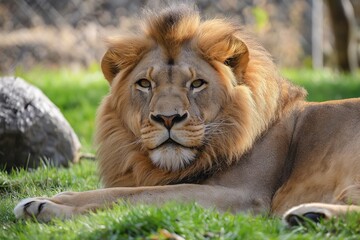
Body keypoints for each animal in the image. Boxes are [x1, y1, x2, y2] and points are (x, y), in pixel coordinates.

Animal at [13, 6, 360, 227]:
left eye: (197, 84)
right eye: (145, 83)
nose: (168, 119)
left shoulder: (244, 195)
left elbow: (132, 195)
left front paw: (46, 206)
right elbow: (120, 191)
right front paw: (55, 197)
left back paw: (311, 214)